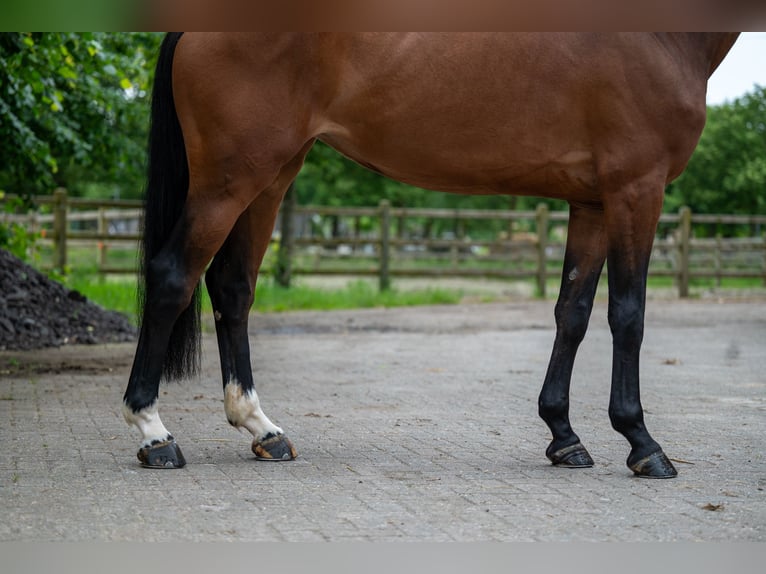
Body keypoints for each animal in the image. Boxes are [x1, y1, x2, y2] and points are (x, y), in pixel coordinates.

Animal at [123, 33, 740, 480]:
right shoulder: (637, 189)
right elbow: (628, 315)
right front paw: (643, 443)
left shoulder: (591, 202)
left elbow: (574, 313)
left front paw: (564, 437)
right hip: (230, 180)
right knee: (174, 277)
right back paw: (154, 434)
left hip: (271, 175)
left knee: (232, 289)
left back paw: (263, 429)